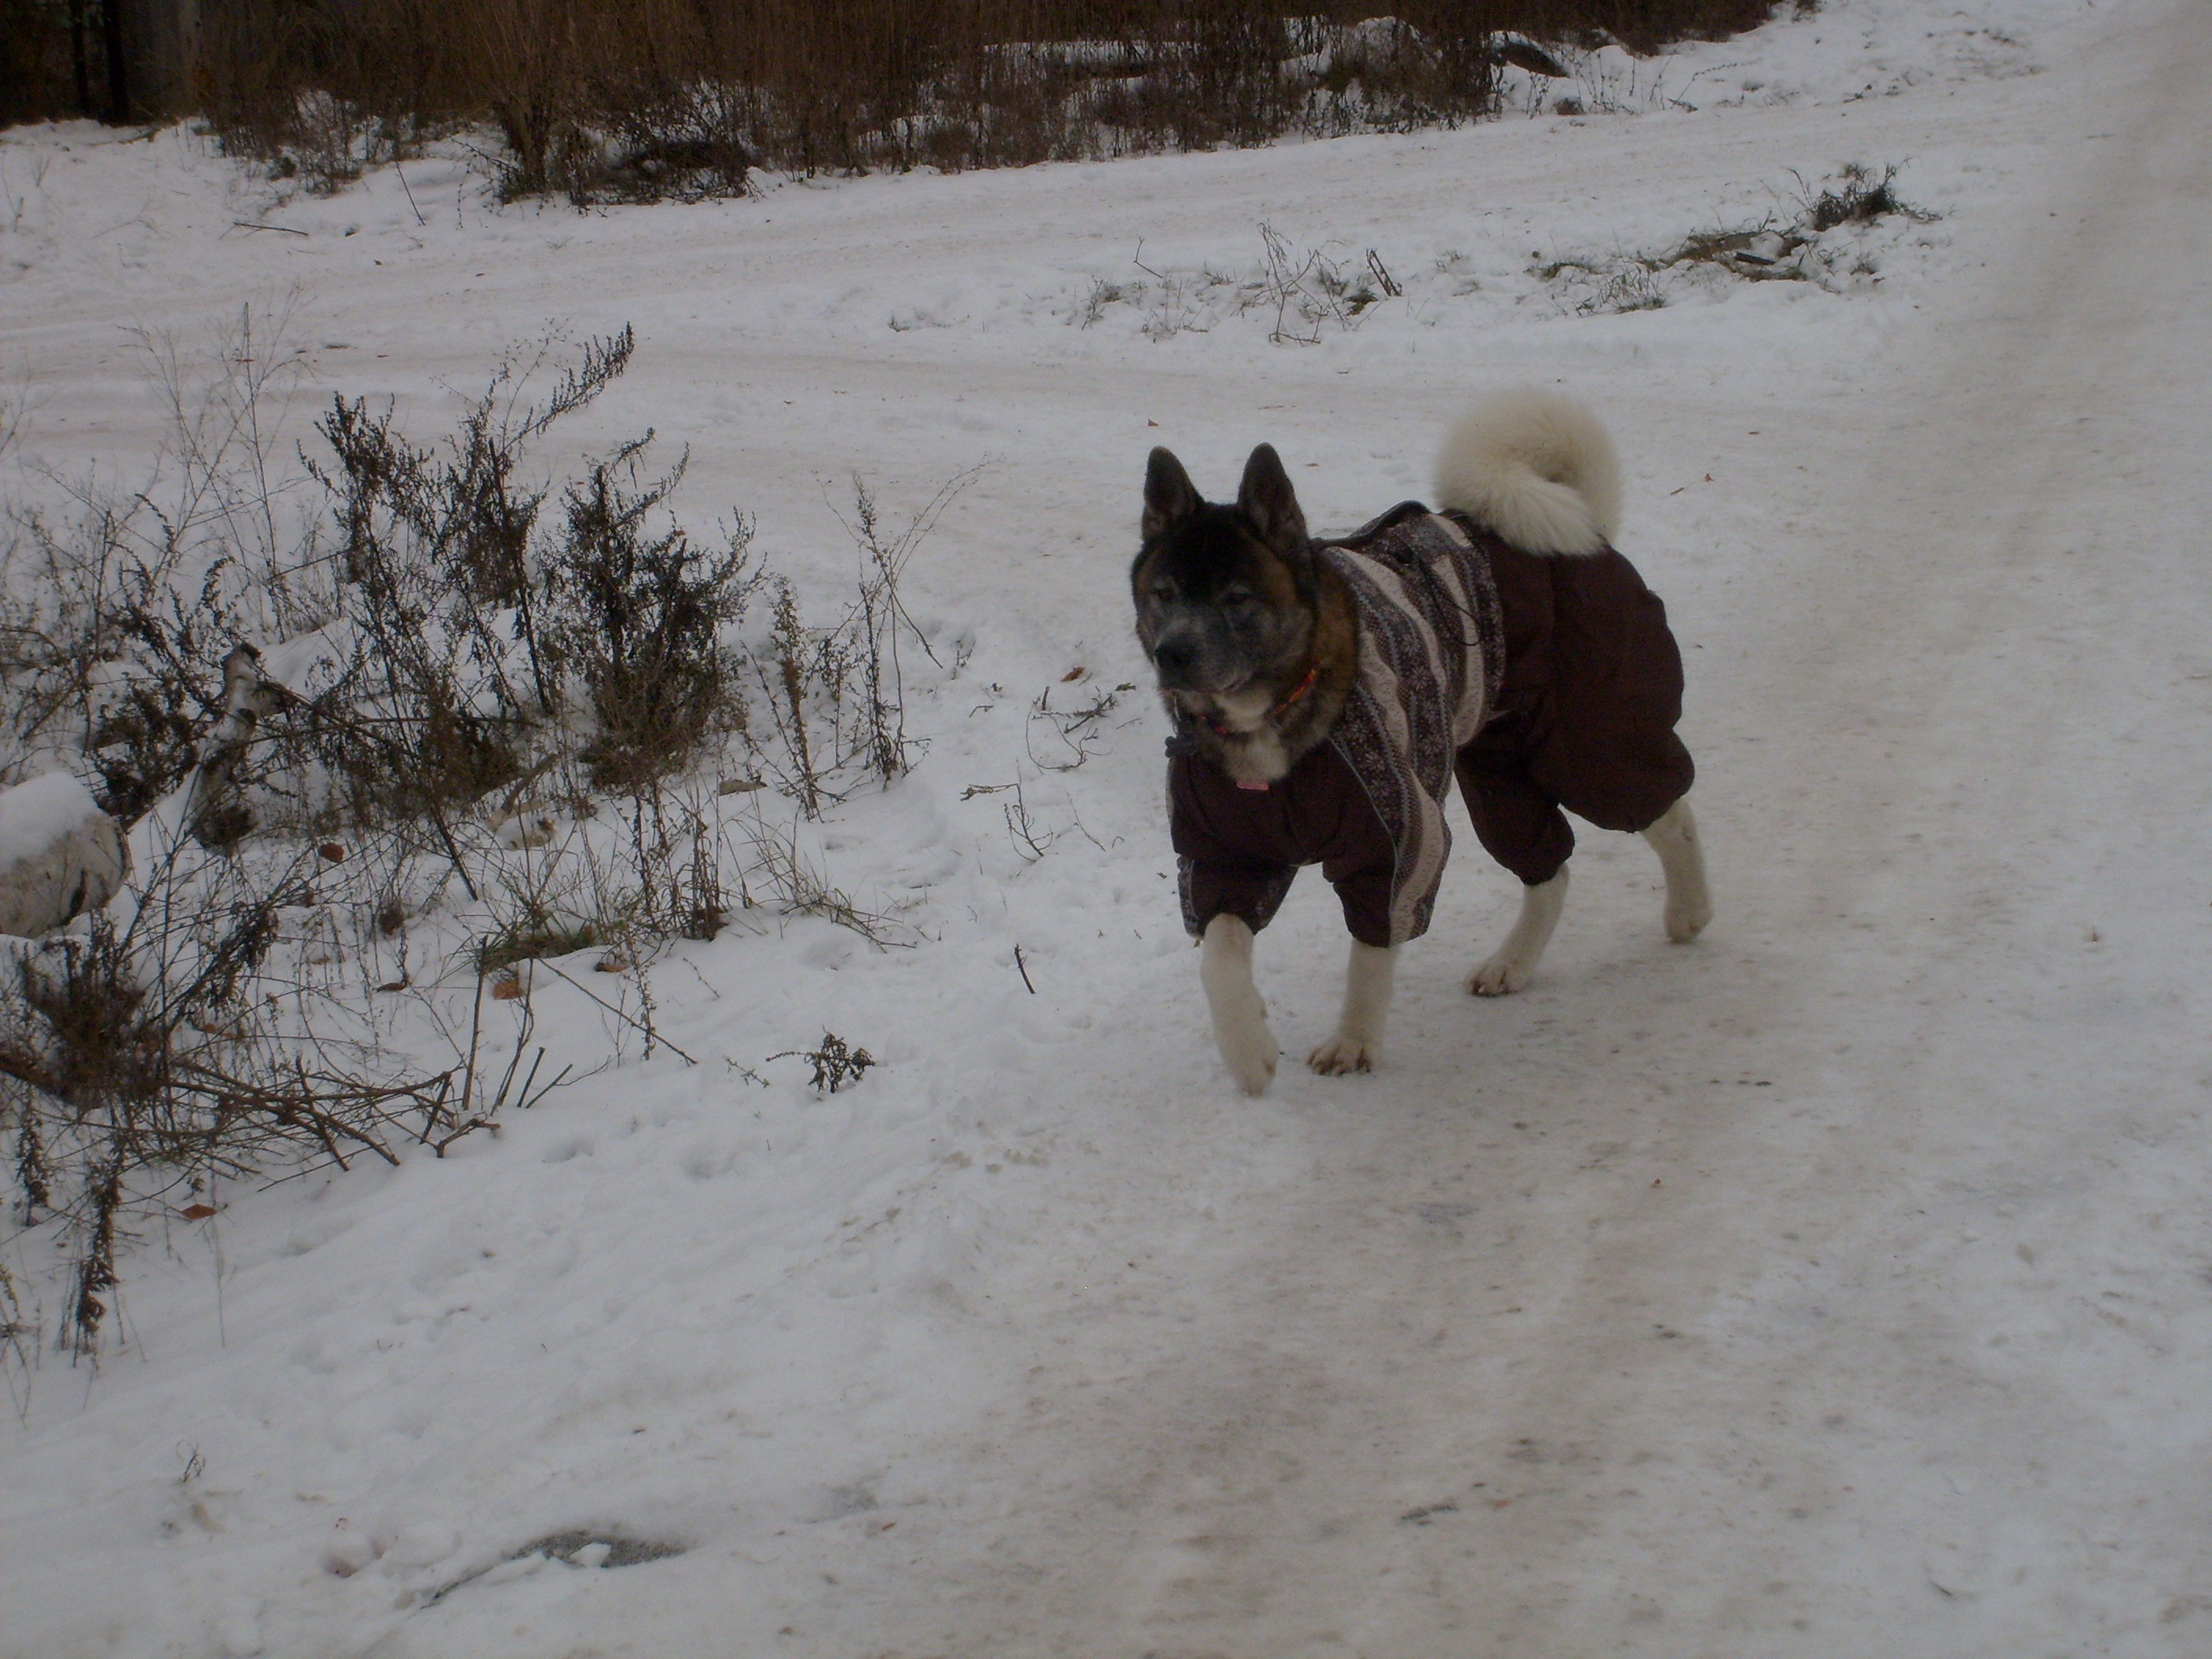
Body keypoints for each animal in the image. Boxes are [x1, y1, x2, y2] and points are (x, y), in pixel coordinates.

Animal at [1131, 390, 1711, 1094]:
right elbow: (1218, 954)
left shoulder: (1398, 836)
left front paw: (1354, 1040)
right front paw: (1249, 1049)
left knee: (1667, 812)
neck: (1276, 712)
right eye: (1163, 594)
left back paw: (1689, 911)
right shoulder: (1225, 851)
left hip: (1588, 741)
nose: (1173, 653)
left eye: (1236, 597)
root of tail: (1588, 529)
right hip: (1500, 772)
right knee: (1550, 870)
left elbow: (1372, 950)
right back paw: (1512, 963)